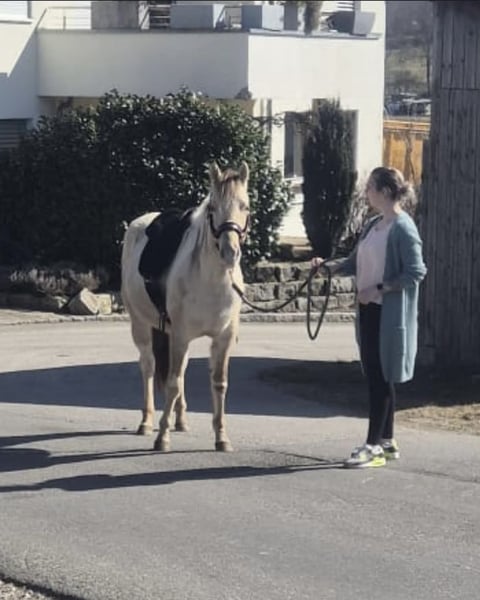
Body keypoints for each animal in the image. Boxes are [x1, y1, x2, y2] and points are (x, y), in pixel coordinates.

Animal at [121, 161, 250, 452]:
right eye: (212, 208)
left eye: (245, 206)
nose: (230, 252)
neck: (212, 279)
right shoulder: (180, 335)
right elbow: (171, 383)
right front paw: (162, 438)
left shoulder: (222, 338)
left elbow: (218, 383)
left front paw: (221, 437)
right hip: (141, 325)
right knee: (148, 366)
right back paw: (147, 422)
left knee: (180, 371)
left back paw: (180, 420)